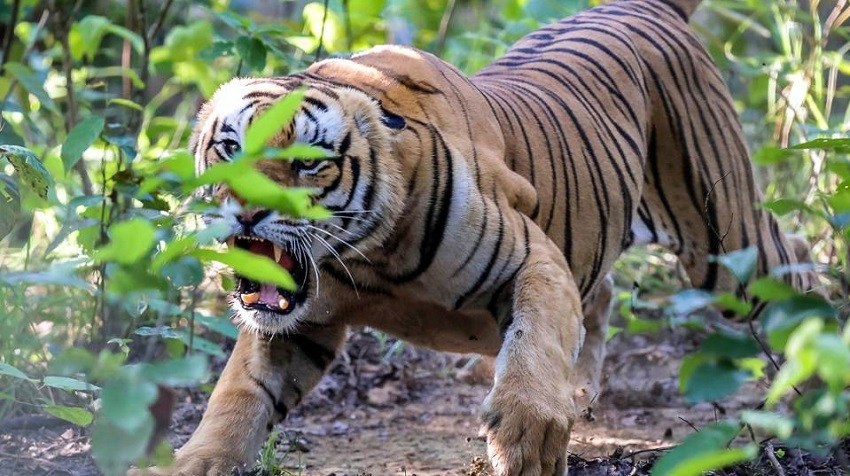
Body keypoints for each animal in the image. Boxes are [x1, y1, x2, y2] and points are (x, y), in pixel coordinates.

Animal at [131, 0, 819, 474]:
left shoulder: (533, 258)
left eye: (307, 163)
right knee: (600, 295)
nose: (245, 214)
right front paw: (194, 462)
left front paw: (527, 434)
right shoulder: (296, 325)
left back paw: (814, 397)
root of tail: (648, 5)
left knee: (797, 271)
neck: (369, 261)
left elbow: (536, 337)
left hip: (725, 241)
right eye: (229, 149)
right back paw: (578, 391)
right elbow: (238, 397)